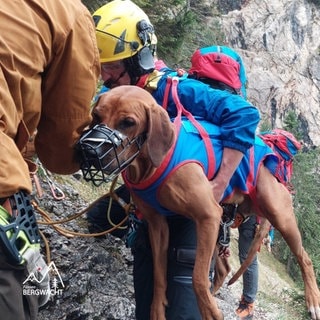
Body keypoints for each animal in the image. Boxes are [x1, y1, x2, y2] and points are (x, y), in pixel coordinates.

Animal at [91, 85, 318, 320]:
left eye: (128, 122)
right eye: (96, 116)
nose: (90, 151)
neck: (149, 166)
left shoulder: (208, 215)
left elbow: (197, 277)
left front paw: (209, 311)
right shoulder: (158, 225)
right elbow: (159, 274)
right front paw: (157, 308)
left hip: (279, 215)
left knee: (305, 258)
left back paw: (312, 300)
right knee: (224, 268)